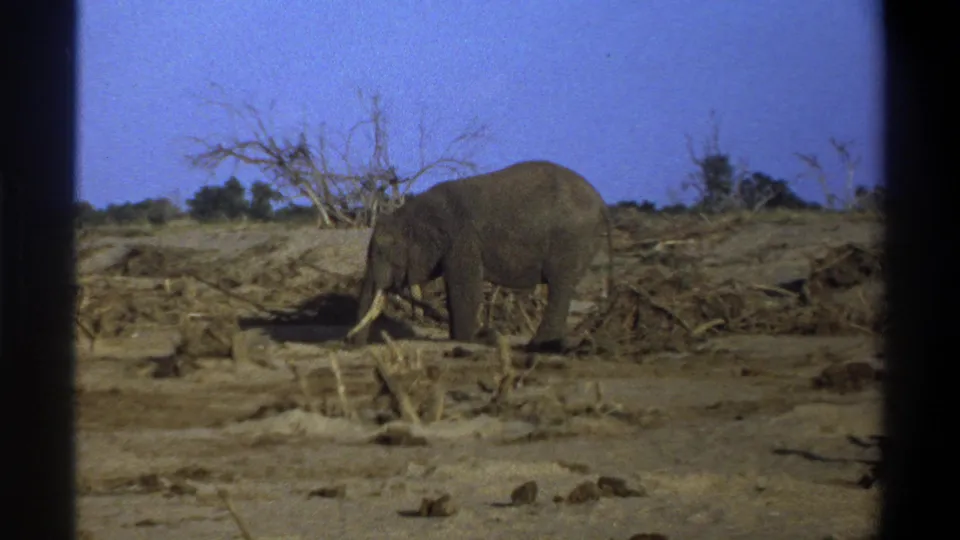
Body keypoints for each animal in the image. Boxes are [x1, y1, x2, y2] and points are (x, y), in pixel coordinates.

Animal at [345, 160, 613, 353]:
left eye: (383, 252)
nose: (351, 344)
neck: (412, 212)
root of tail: (602, 204)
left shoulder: (463, 240)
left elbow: (465, 285)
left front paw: (472, 338)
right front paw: (466, 337)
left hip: (571, 239)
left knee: (560, 286)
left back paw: (539, 346)